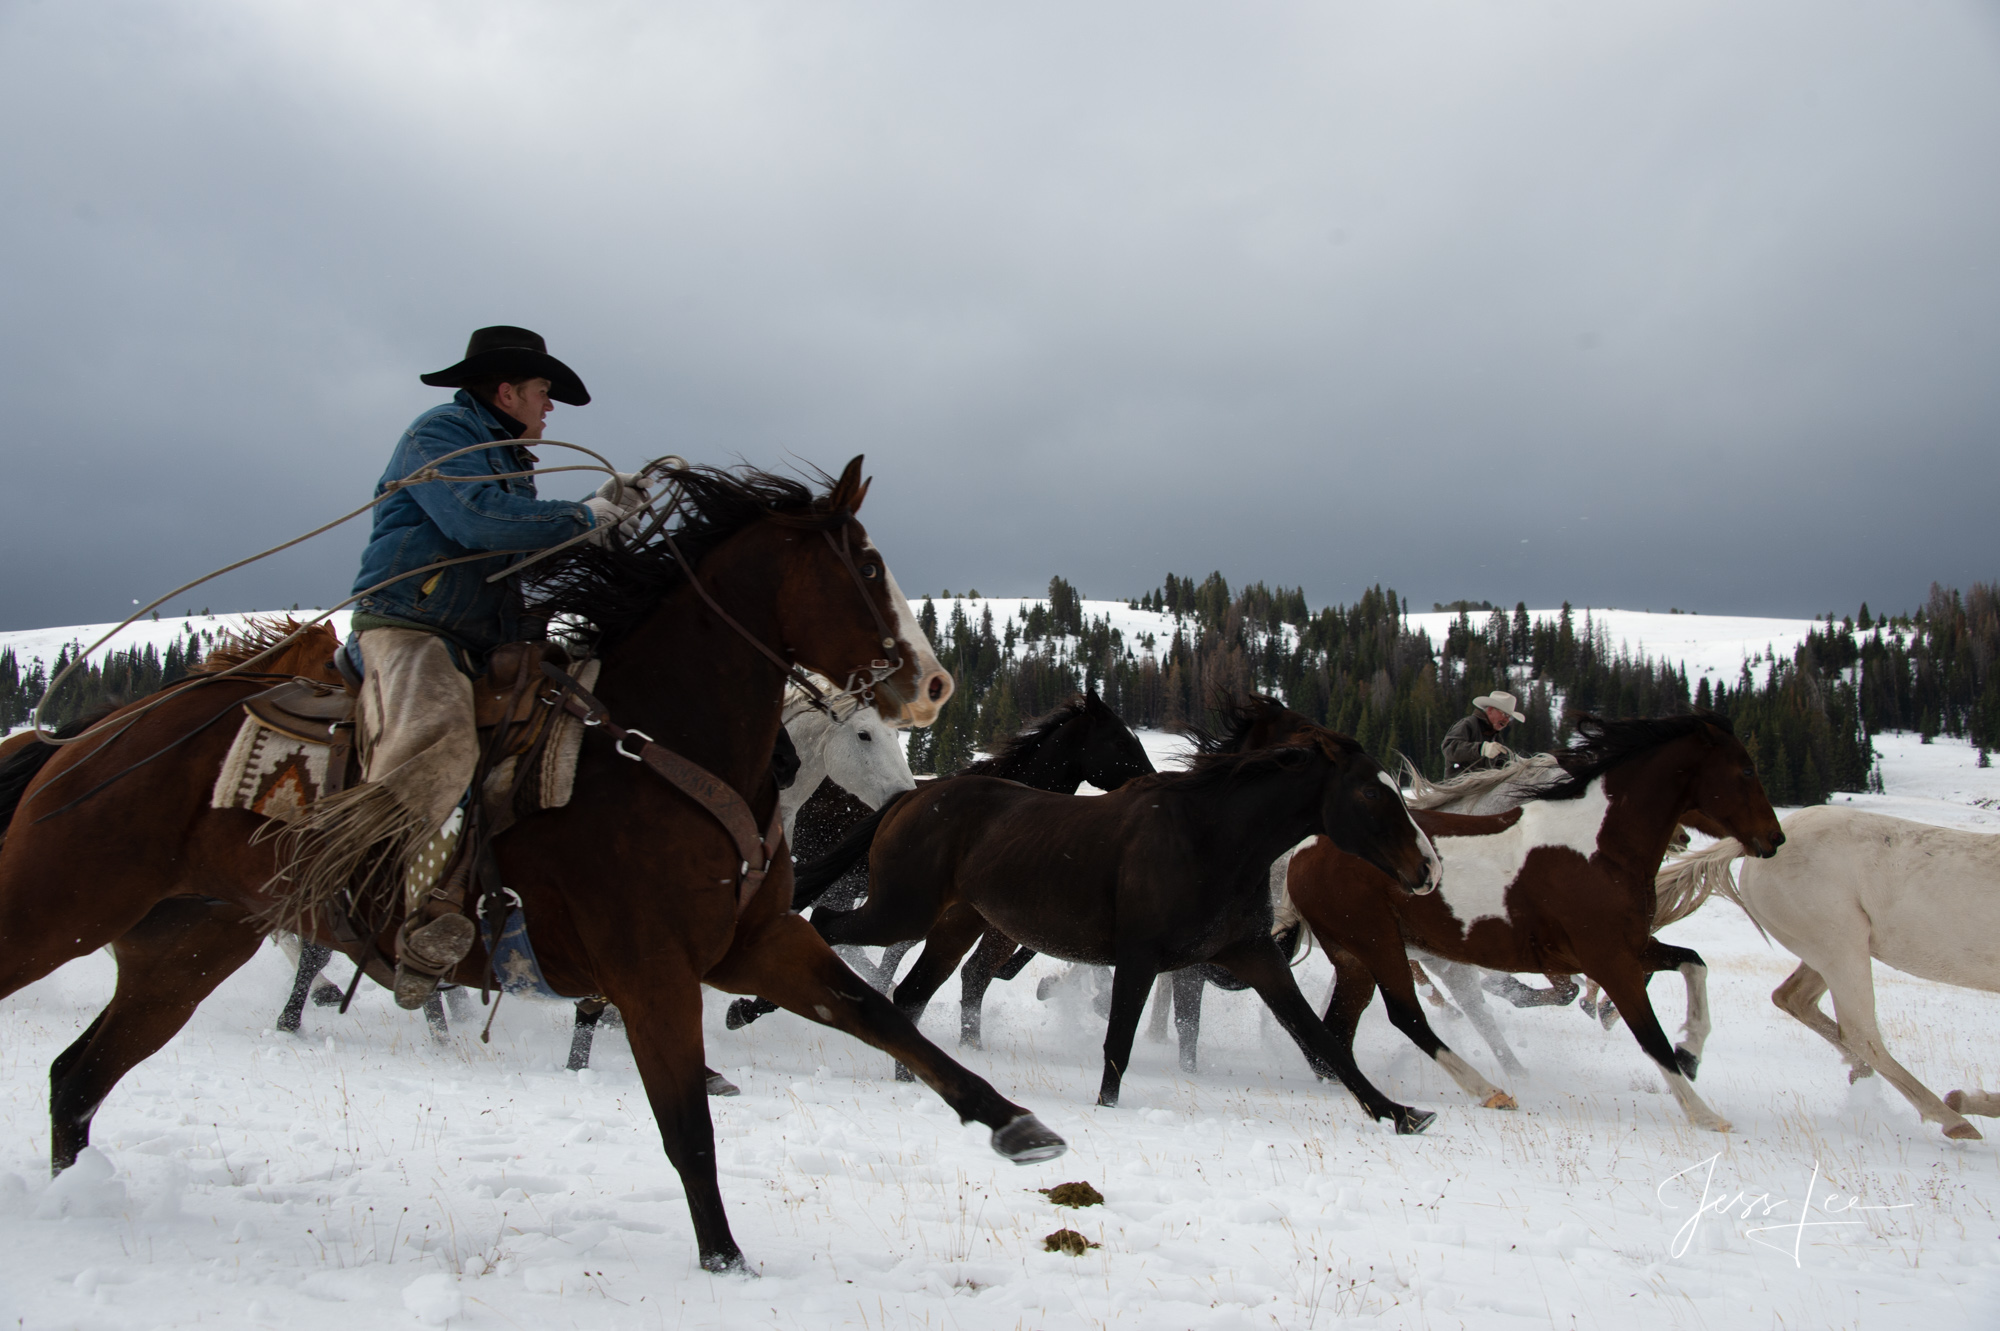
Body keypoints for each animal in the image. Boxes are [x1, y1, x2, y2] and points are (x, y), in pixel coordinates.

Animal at [0, 461, 1072, 1271]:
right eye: (866, 562)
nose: (932, 684)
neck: (663, 747)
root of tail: (87, 738)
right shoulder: (650, 970)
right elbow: (686, 1122)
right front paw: (725, 1259)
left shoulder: (757, 942)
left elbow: (877, 1013)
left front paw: (1015, 1123)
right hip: (53, 910)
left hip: (182, 949)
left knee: (76, 1078)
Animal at [804, 719, 1448, 1127]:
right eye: (1370, 793)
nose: (1428, 869)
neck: (1211, 839)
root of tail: (908, 798)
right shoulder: (1140, 958)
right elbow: (1118, 1043)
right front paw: (1106, 1110)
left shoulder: (1253, 954)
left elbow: (1321, 1040)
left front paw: (1398, 1113)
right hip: (901, 911)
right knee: (830, 928)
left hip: (954, 925)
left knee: (910, 991)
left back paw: (913, 1076)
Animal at [1656, 803, 2000, 1135]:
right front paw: (1968, 1101)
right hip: (1841, 946)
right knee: (1860, 1032)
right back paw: (1953, 1119)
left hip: (1824, 952)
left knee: (1793, 998)